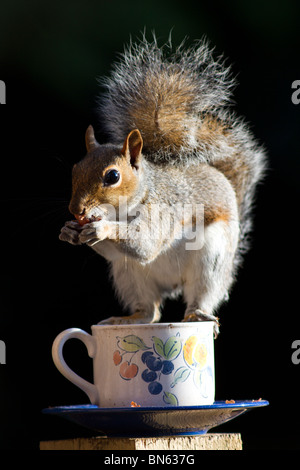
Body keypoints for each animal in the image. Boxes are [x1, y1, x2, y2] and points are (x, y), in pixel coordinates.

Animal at [58, 37, 264, 338]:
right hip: (128, 274)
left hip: (211, 262)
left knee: (200, 295)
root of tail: (172, 285)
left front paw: (102, 229)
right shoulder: (117, 255)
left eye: (112, 176)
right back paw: (127, 320)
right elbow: (116, 249)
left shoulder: (164, 209)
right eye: (75, 169)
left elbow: (146, 241)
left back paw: (197, 314)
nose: (77, 210)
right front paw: (68, 230)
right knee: (150, 311)